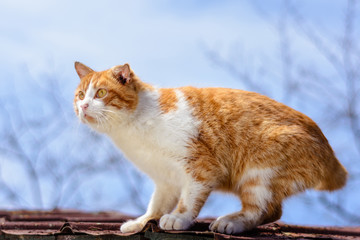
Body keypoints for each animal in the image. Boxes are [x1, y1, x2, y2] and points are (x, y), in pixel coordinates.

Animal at [74, 62, 348, 234]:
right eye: (80, 95)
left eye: (101, 93)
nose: (84, 106)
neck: (132, 128)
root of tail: (331, 154)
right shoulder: (165, 179)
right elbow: (156, 204)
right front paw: (141, 222)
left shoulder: (201, 168)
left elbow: (188, 200)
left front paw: (178, 218)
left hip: (259, 173)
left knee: (264, 209)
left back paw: (231, 222)